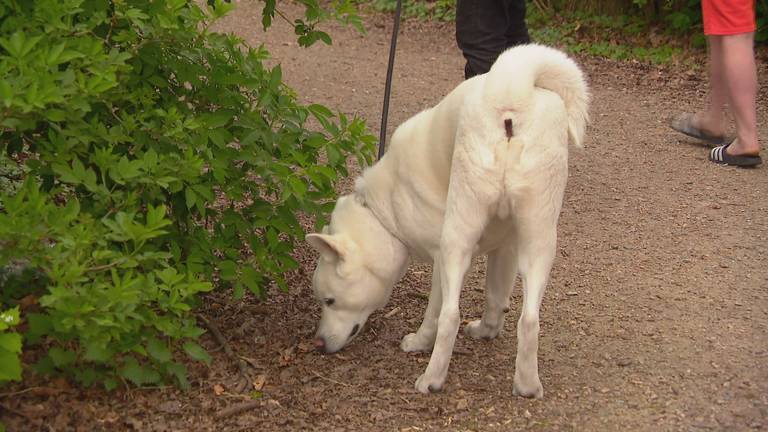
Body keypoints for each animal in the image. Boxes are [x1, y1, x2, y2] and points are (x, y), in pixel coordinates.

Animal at [306, 43, 588, 394]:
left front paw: (418, 343)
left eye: (329, 301)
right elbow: (495, 298)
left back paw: (432, 379)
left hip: (457, 241)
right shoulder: (506, 250)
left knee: (450, 317)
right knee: (530, 320)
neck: (383, 210)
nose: (317, 343)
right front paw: (487, 331)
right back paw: (526, 385)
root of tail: (510, 94)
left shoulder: (441, 257)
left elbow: (435, 314)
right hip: (539, 243)